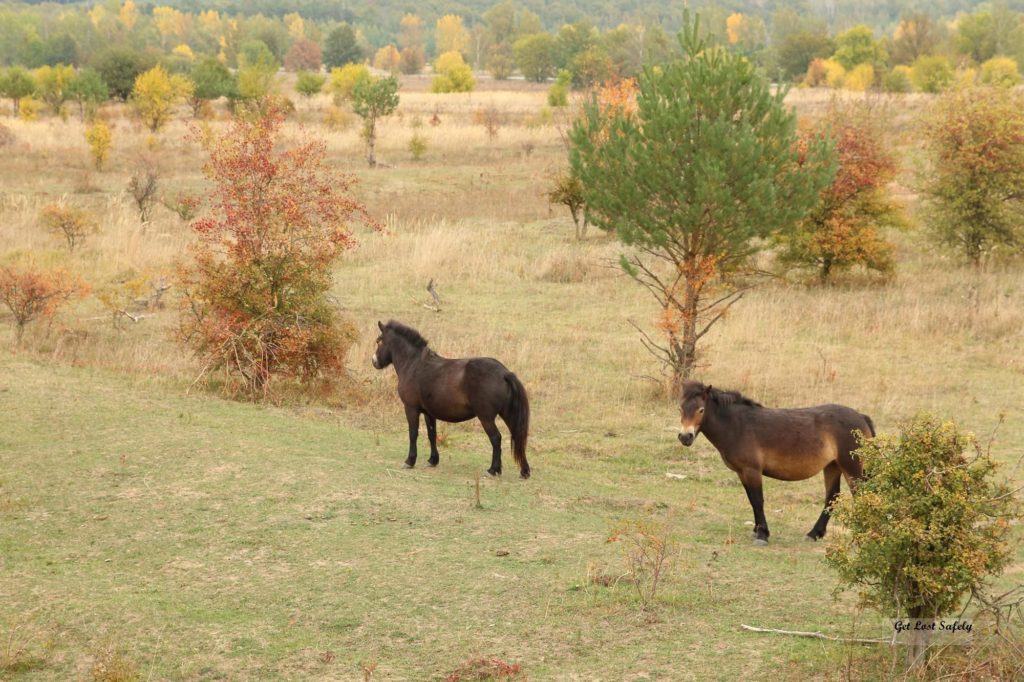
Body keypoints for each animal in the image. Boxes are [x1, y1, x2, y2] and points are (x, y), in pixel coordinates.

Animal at [370, 319, 532, 475]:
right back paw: (524, 471)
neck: (414, 365)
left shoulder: (411, 409)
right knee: (517, 437)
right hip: (507, 414)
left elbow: (413, 433)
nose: (374, 362)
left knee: (496, 438)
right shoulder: (429, 413)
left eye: (379, 341)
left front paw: (410, 461)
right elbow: (432, 434)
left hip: (486, 418)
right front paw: (433, 460)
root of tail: (504, 373)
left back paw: (493, 470)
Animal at [679, 378, 872, 544]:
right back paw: (814, 534)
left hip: (851, 467)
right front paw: (757, 529)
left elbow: (758, 500)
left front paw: (762, 535)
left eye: (701, 410)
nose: (685, 437)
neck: (737, 425)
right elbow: (751, 499)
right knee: (832, 497)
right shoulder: (742, 472)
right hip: (833, 466)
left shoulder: (752, 470)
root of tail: (861, 417)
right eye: (680, 408)